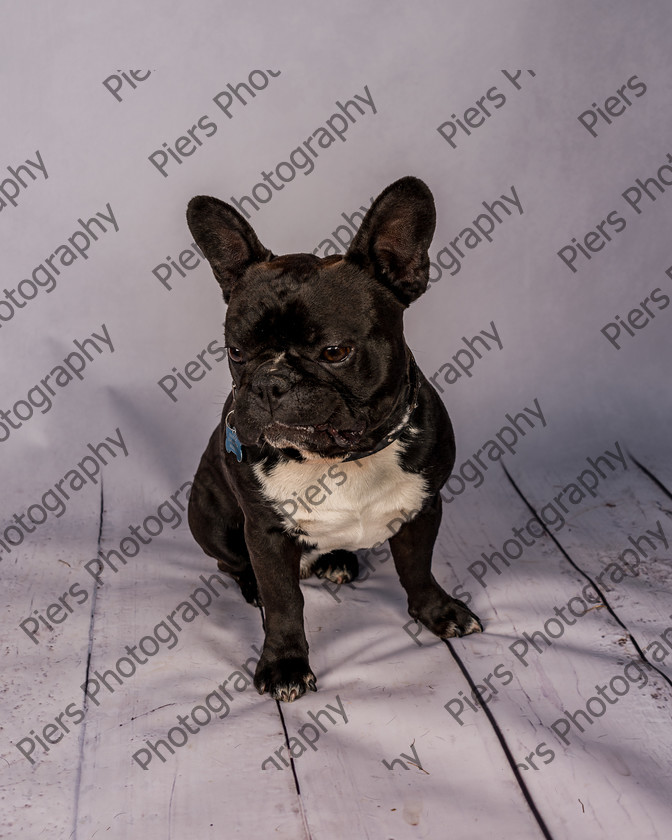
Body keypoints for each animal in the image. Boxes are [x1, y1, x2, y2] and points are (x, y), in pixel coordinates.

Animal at [186, 176, 480, 704]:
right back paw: (251, 585)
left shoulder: (425, 507)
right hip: (209, 518)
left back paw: (338, 559)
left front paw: (437, 611)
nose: (269, 383)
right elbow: (285, 603)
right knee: (230, 564)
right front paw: (285, 663)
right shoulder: (265, 532)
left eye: (335, 351)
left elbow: (418, 567)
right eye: (235, 352)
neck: (342, 458)